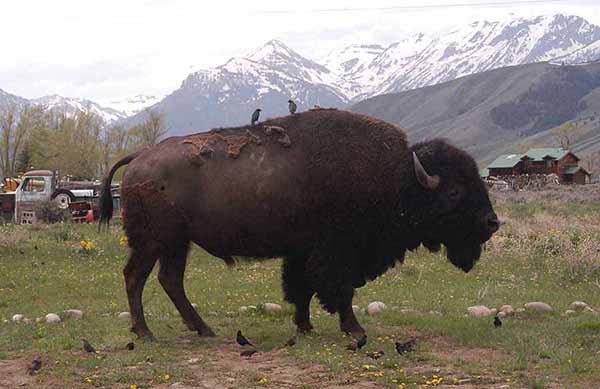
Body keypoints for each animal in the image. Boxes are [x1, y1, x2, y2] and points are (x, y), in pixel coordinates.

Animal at [101, 108, 500, 340]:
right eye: (455, 191)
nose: (492, 222)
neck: (398, 178)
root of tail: (140, 156)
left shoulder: (301, 252)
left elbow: (301, 290)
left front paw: (305, 327)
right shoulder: (336, 253)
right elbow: (338, 291)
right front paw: (355, 331)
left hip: (177, 243)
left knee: (170, 280)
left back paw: (204, 330)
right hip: (153, 241)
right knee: (135, 277)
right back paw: (145, 333)